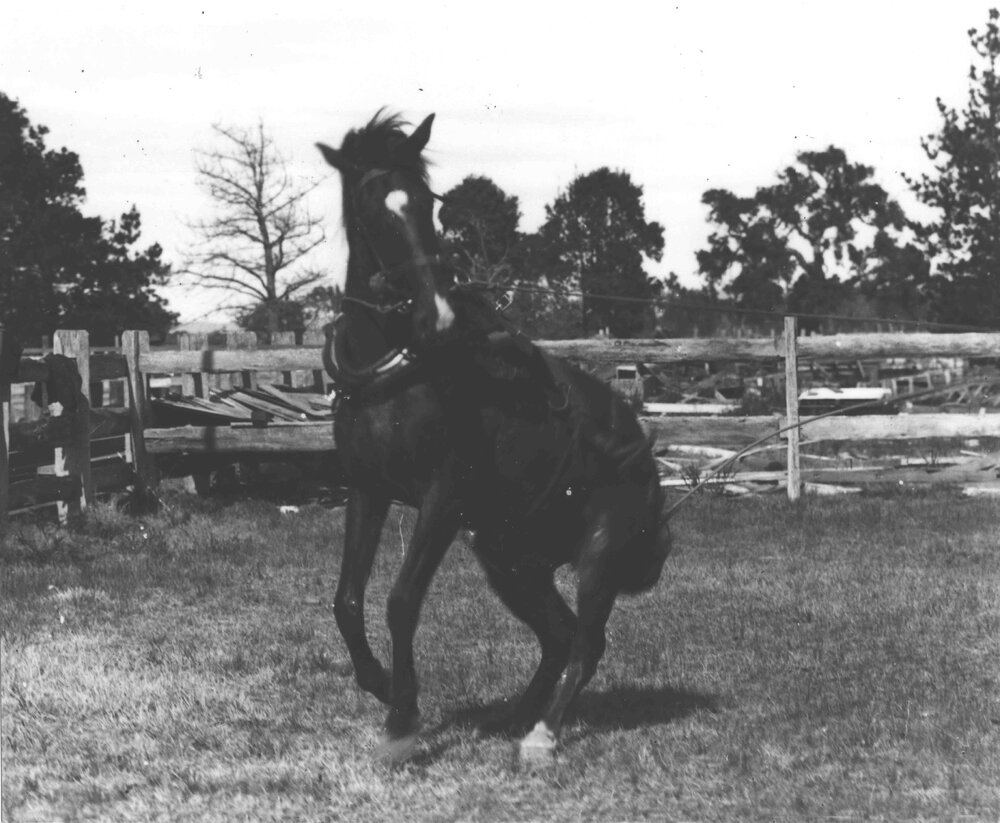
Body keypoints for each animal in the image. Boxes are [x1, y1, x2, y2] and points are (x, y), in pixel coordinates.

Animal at [316, 110, 670, 764]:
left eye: (428, 203)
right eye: (372, 209)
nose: (437, 317)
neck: (399, 371)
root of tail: (641, 447)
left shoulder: (443, 498)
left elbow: (401, 601)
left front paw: (402, 722)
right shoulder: (368, 491)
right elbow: (347, 601)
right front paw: (381, 684)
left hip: (598, 555)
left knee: (586, 642)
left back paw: (542, 734)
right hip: (510, 560)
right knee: (558, 636)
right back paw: (515, 715)